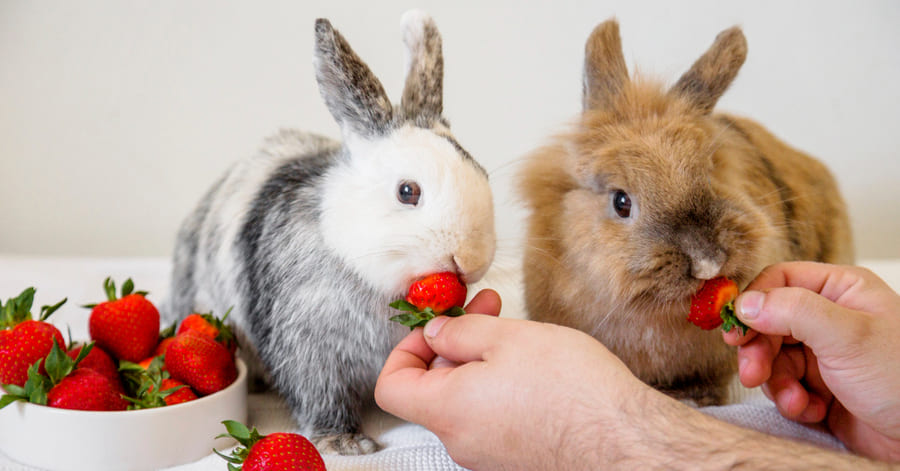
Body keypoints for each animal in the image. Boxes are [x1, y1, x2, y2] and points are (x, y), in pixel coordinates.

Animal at [165, 10, 496, 454]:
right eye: (407, 192)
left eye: (483, 173)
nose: (469, 259)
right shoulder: (310, 350)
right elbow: (319, 395)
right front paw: (344, 443)